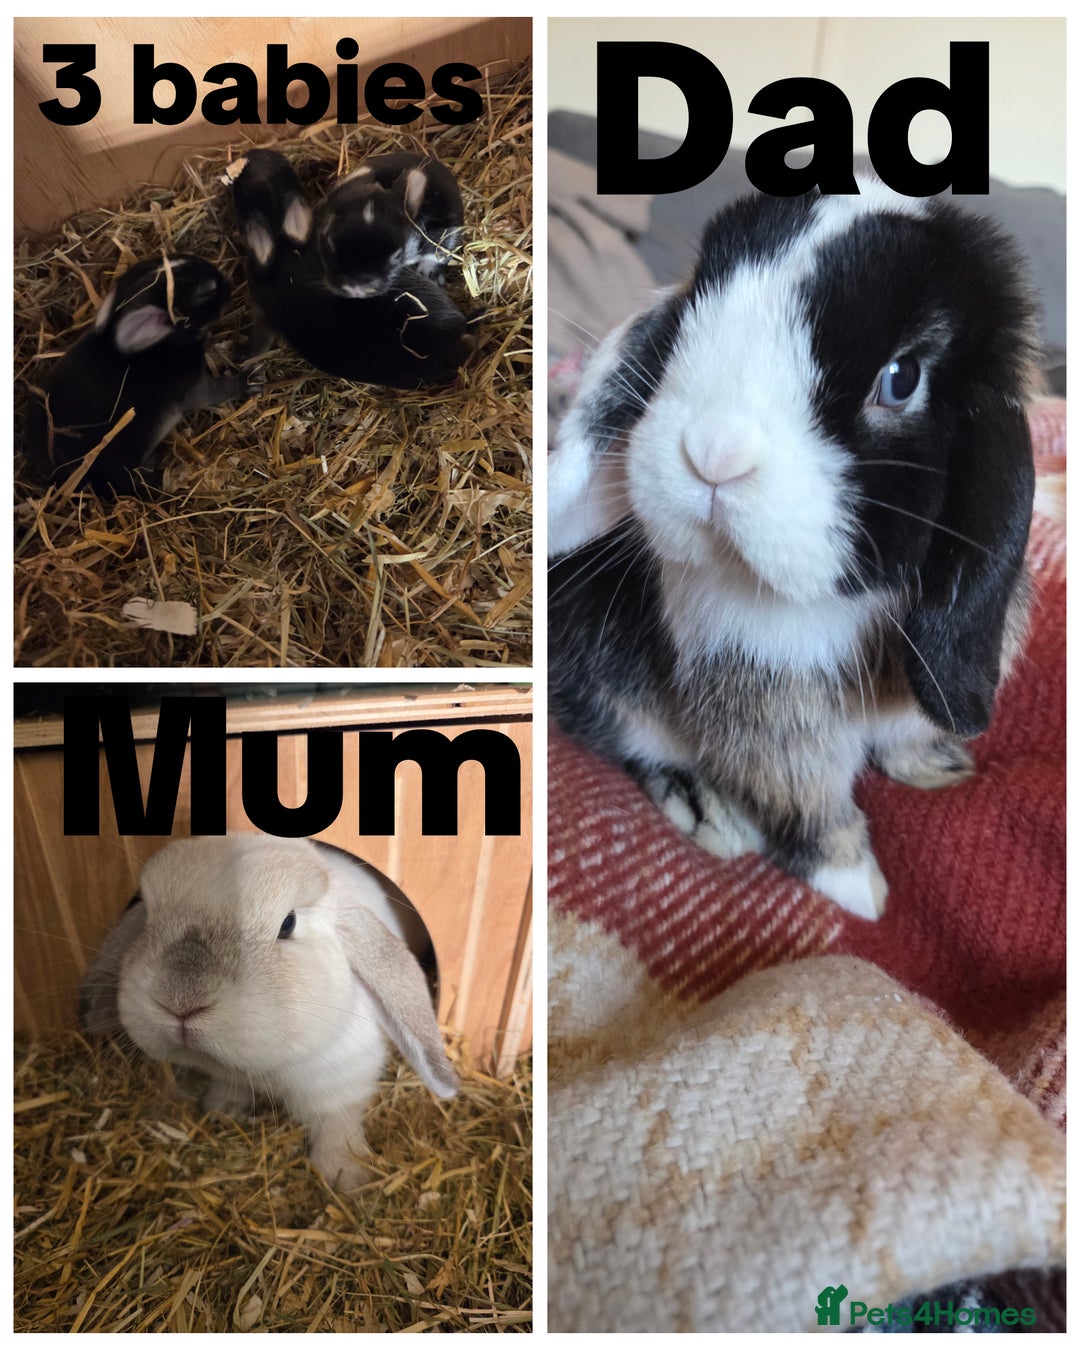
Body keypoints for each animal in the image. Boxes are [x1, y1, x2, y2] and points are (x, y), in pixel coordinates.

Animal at [78, 833, 459, 1194]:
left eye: (288, 924)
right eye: (147, 918)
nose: (180, 1003)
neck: (264, 1070)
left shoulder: (343, 1083)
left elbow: (338, 1124)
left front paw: (348, 1178)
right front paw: (220, 1109)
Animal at [317, 152, 465, 299]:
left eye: (397, 256)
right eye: (329, 245)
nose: (355, 289)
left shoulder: (445, 228)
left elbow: (437, 253)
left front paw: (429, 276)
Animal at [548, 179, 1039, 921]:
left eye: (902, 378)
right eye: (689, 315)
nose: (714, 453)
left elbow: (906, 738)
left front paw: (941, 771)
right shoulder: (773, 720)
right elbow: (808, 800)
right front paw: (860, 890)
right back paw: (710, 812)